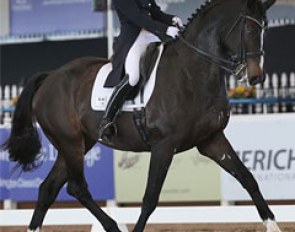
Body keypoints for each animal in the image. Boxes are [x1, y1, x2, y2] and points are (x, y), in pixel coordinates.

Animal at [2, 0, 280, 232]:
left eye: (265, 30)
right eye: (249, 31)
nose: (256, 78)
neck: (192, 73)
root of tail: (50, 76)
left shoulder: (212, 140)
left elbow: (248, 178)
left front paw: (273, 225)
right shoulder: (164, 146)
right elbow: (150, 198)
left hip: (78, 144)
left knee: (49, 189)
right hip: (70, 143)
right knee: (77, 187)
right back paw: (113, 227)